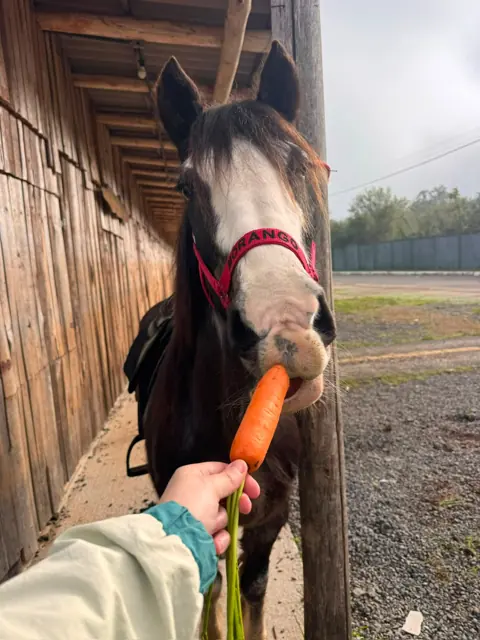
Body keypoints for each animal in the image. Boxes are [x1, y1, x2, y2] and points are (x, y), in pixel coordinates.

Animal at [124, 41, 336, 639]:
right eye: (186, 186)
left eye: (301, 165)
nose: (286, 328)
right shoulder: (205, 510)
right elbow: (212, 591)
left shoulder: (270, 518)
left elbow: (254, 588)